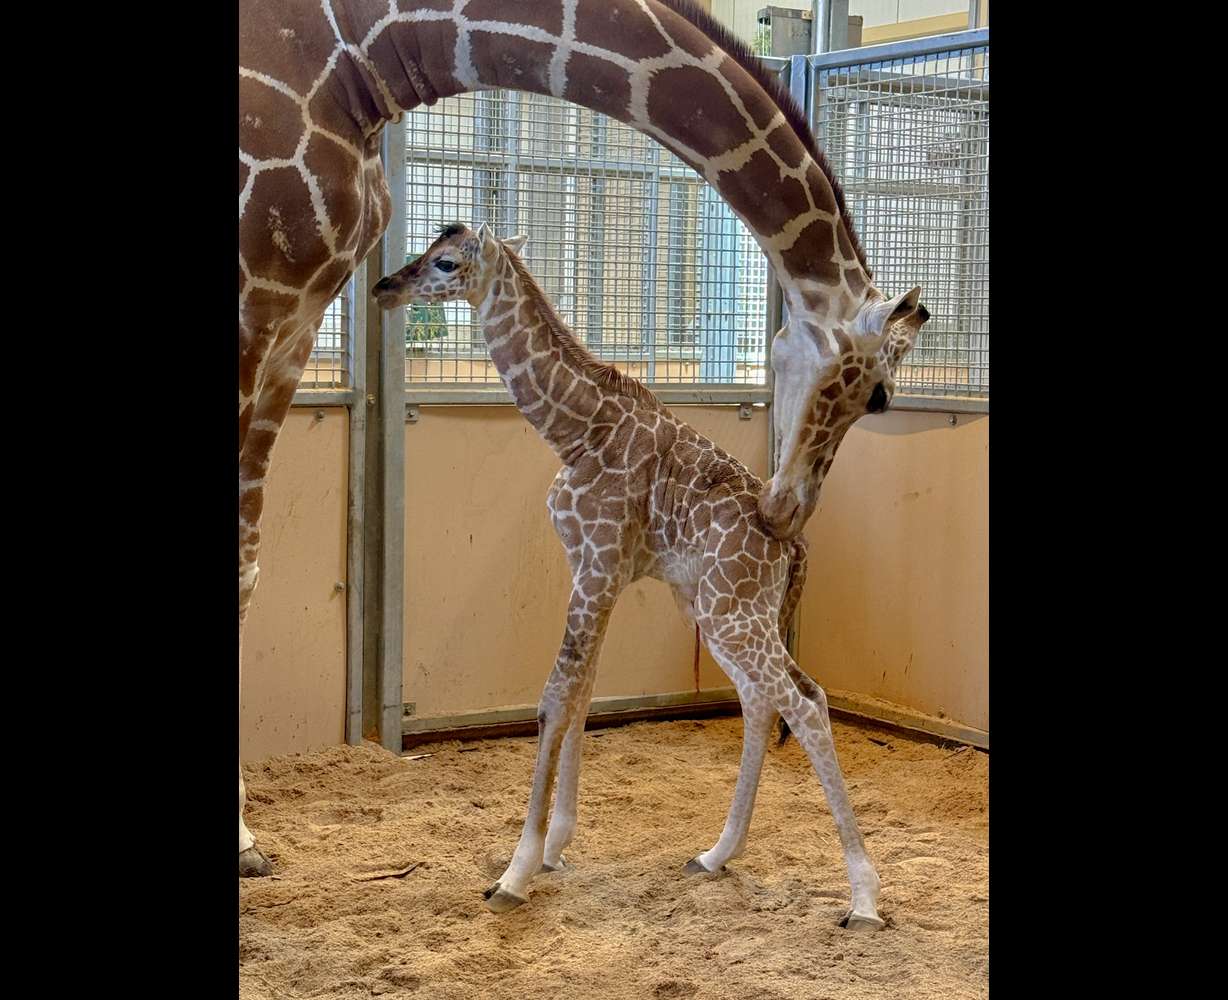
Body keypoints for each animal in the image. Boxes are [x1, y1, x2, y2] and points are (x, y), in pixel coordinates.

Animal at [370, 221, 928, 928]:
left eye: (443, 262)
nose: (385, 286)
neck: (575, 429)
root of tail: (794, 544)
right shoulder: (598, 570)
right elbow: (582, 694)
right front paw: (554, 847)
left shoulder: (596, 563)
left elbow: (554, 697)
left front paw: (517, 871)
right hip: (720, 611)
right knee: (763, 699)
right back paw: (716, 854)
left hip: (732, 612)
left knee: (804, 702)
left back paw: (863, 896)